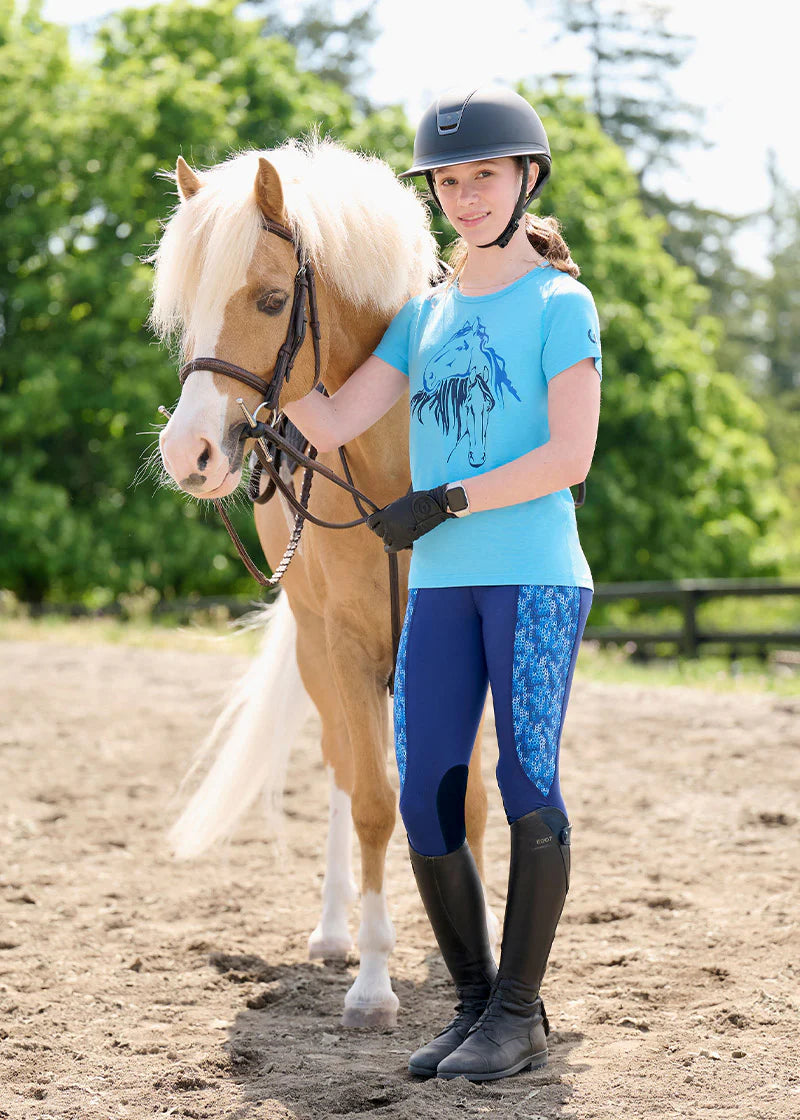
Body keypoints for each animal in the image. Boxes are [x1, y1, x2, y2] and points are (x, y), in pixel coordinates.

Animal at [148, 135, 502, 1028]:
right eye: (186, 307)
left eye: (273, 300)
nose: (186, 454)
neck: (399, 480)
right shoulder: (343, 650)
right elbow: (373, 799)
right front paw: (373, 983)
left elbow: (468, 804)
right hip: (321, 654)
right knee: (346, 771)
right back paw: (338, 932)